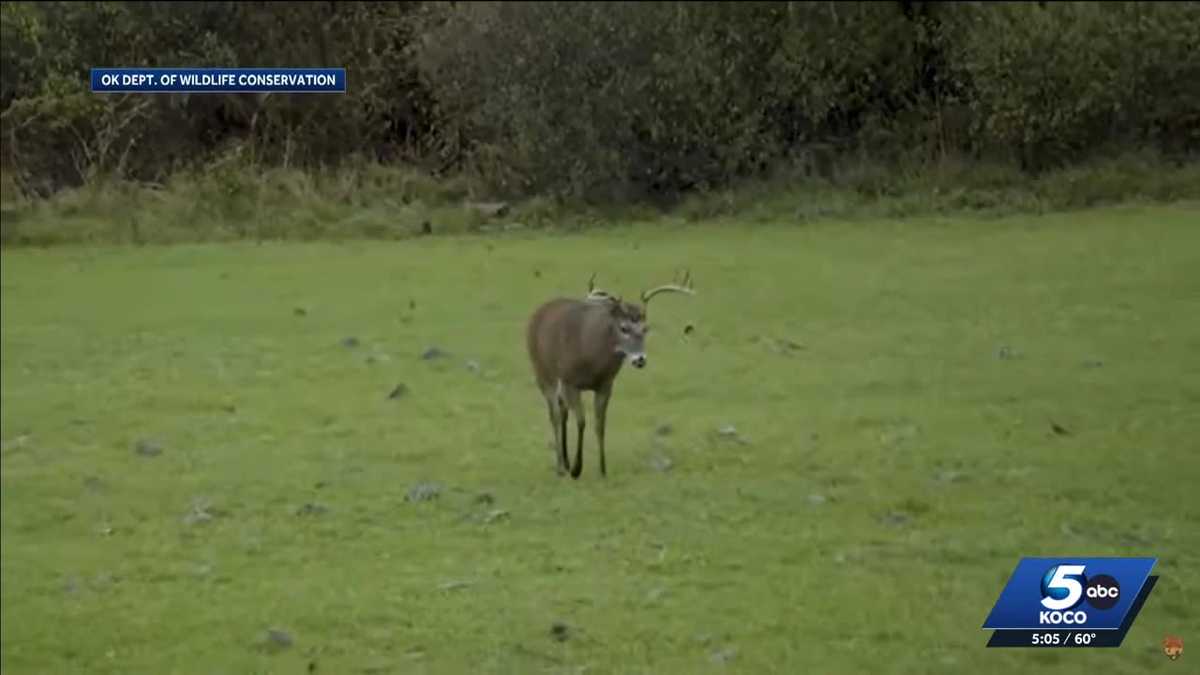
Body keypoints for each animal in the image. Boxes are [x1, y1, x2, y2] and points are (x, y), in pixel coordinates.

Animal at [525, 270, 695, 479]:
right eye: (624, 328)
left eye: (646, 328)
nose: (640, 359)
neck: (591, 357)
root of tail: (539, 311)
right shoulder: (570, 380)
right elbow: (581, 421)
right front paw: (576, 469)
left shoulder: (606, 384)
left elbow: (600, 425)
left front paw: (602, 469)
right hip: (542, 372)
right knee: (555, 415)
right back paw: (561, 468)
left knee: (562, 411)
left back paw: (564, 461)